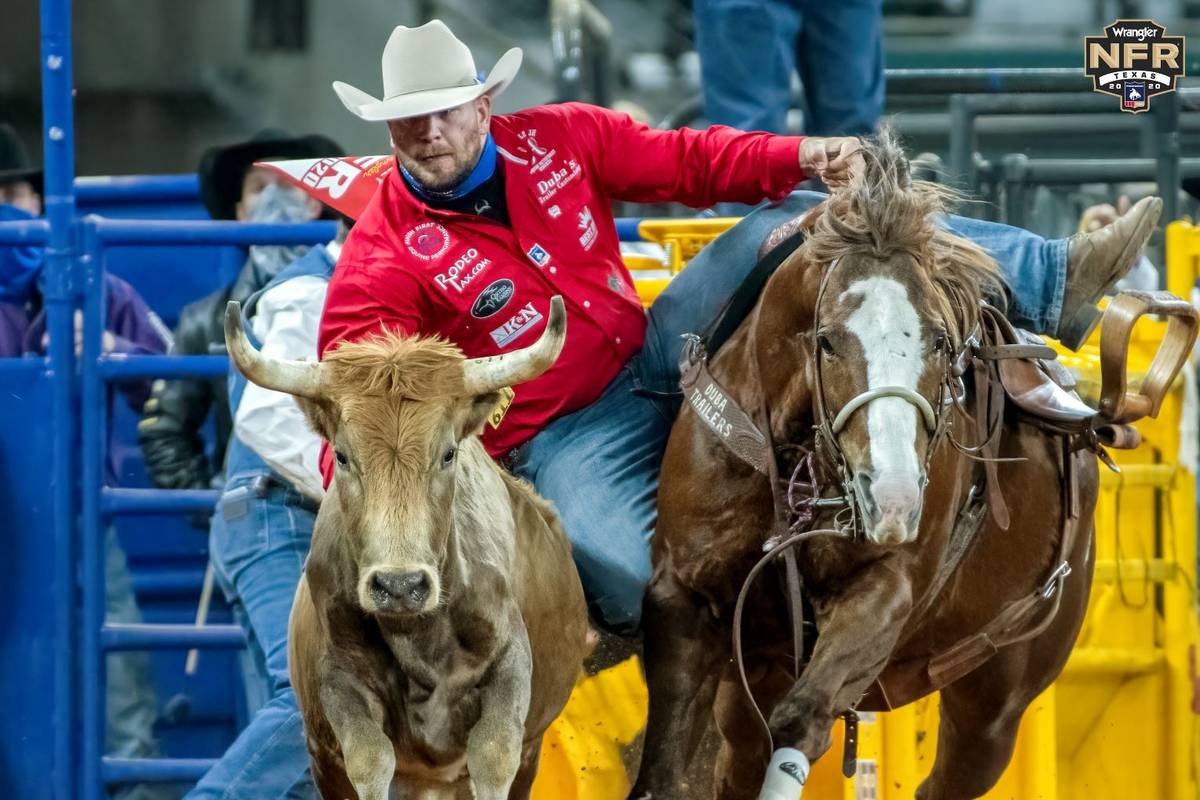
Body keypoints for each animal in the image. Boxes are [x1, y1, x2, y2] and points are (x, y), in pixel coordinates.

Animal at [633, 134, 1099, 796]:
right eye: (826, 340)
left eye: (941, 341)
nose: (894, 499)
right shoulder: (683, 599)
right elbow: (664, 772)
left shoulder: (884, 592)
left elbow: (802, 719)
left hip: (997, 704)